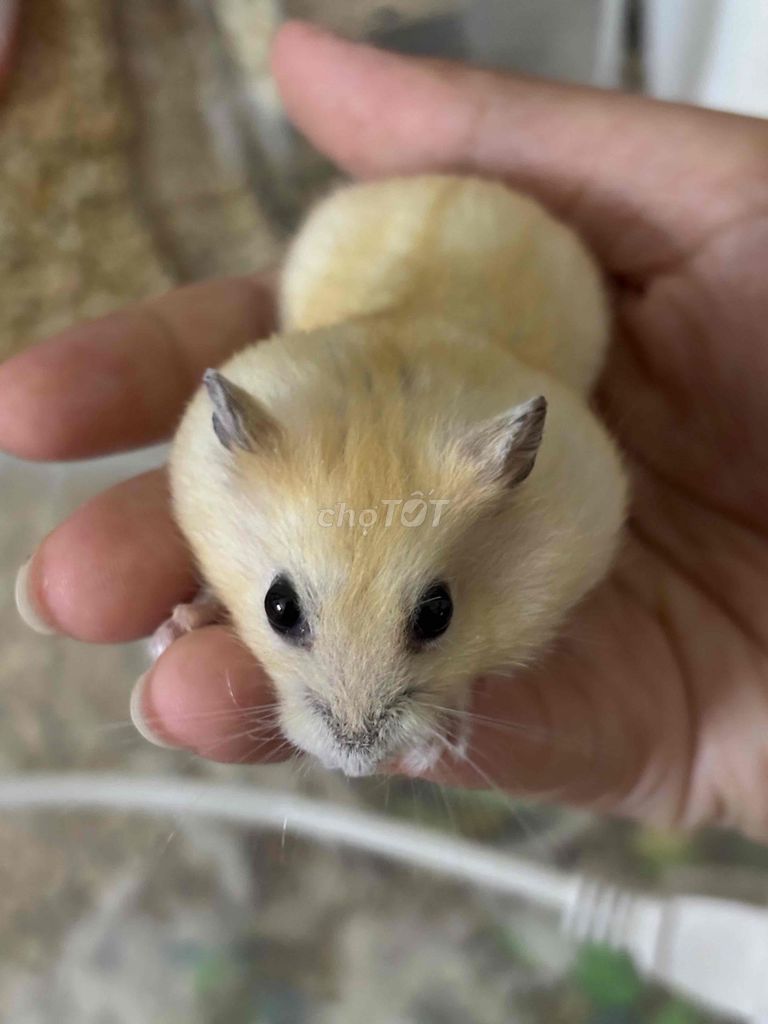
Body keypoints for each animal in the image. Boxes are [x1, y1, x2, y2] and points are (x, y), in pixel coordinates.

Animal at [164, 176, 627, 777]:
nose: (355, 762)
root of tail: (455, 175)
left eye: (438, 614)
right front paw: (172, 627)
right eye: (278, 608)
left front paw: (438, 746)